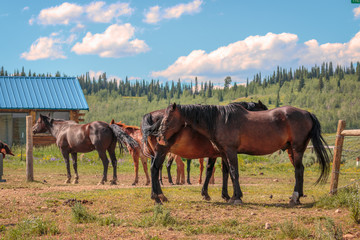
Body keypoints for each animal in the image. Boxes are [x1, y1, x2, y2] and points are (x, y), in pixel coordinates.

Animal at [159, 102, 330, 205]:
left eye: (167, 119)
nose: (159, 136)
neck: (220, 120)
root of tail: (307, 113)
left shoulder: (230, 151)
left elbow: (234, 172)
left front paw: (236, 198)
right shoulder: (223, 153)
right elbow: (229, 173)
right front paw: (232, 196)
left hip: (297, 149)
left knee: (298, 171)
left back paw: (295, 197)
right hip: (291, 150)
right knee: (300, 170)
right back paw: (298, 196)